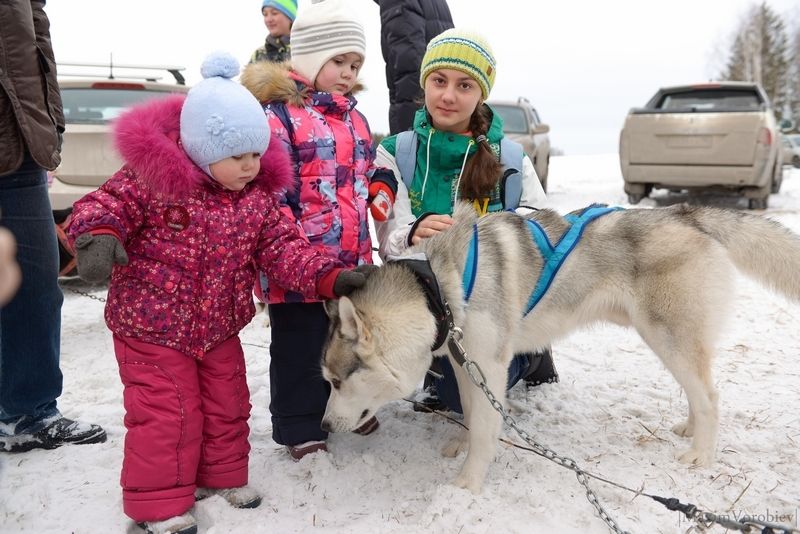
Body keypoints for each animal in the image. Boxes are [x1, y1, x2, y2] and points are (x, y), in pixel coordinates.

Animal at [320, 204, 800, 494]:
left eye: (337, 381)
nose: (323, 424)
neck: (437, 286)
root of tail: (687, 214)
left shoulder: (490, 365)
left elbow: (485, 430)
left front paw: (469, 483)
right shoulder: (465, 361)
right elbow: (472, 414)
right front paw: (461, 442)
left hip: (670, 338)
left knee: (710, 397)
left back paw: (701, 454)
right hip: (669, 343)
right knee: (697, 393)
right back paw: (689, 430)